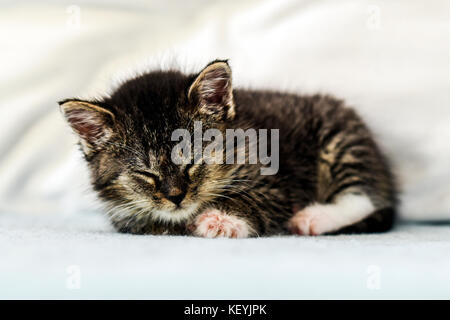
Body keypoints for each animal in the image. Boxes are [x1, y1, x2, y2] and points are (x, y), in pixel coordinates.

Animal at [59, 60, 398, 236]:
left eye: (192, 162)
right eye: (146, 173)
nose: (176, 196)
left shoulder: (278, 182)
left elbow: (256, 200)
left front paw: (220, 219)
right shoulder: (127, 215)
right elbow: (150, 222)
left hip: (341, 140)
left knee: (362, 197)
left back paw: (312, 218)